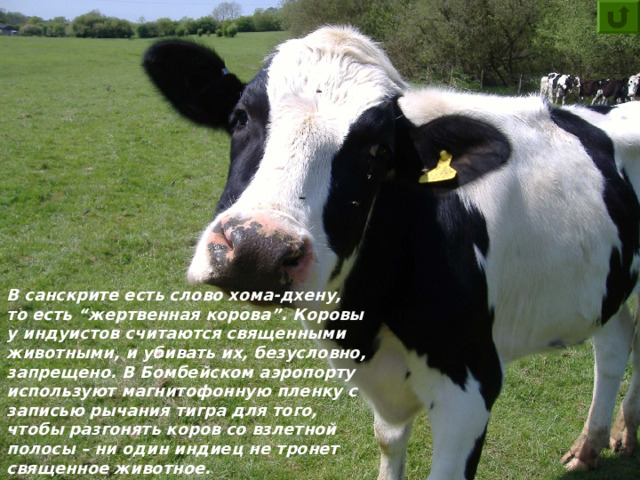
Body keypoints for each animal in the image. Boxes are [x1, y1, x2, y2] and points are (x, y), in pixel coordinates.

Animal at [144, 26, 640, 480]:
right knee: (615, 342)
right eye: (240, 117)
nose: (258, 249)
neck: (365, 318)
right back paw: (591, 446)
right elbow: (388, 439)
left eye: (378, 150)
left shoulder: (472, 383)